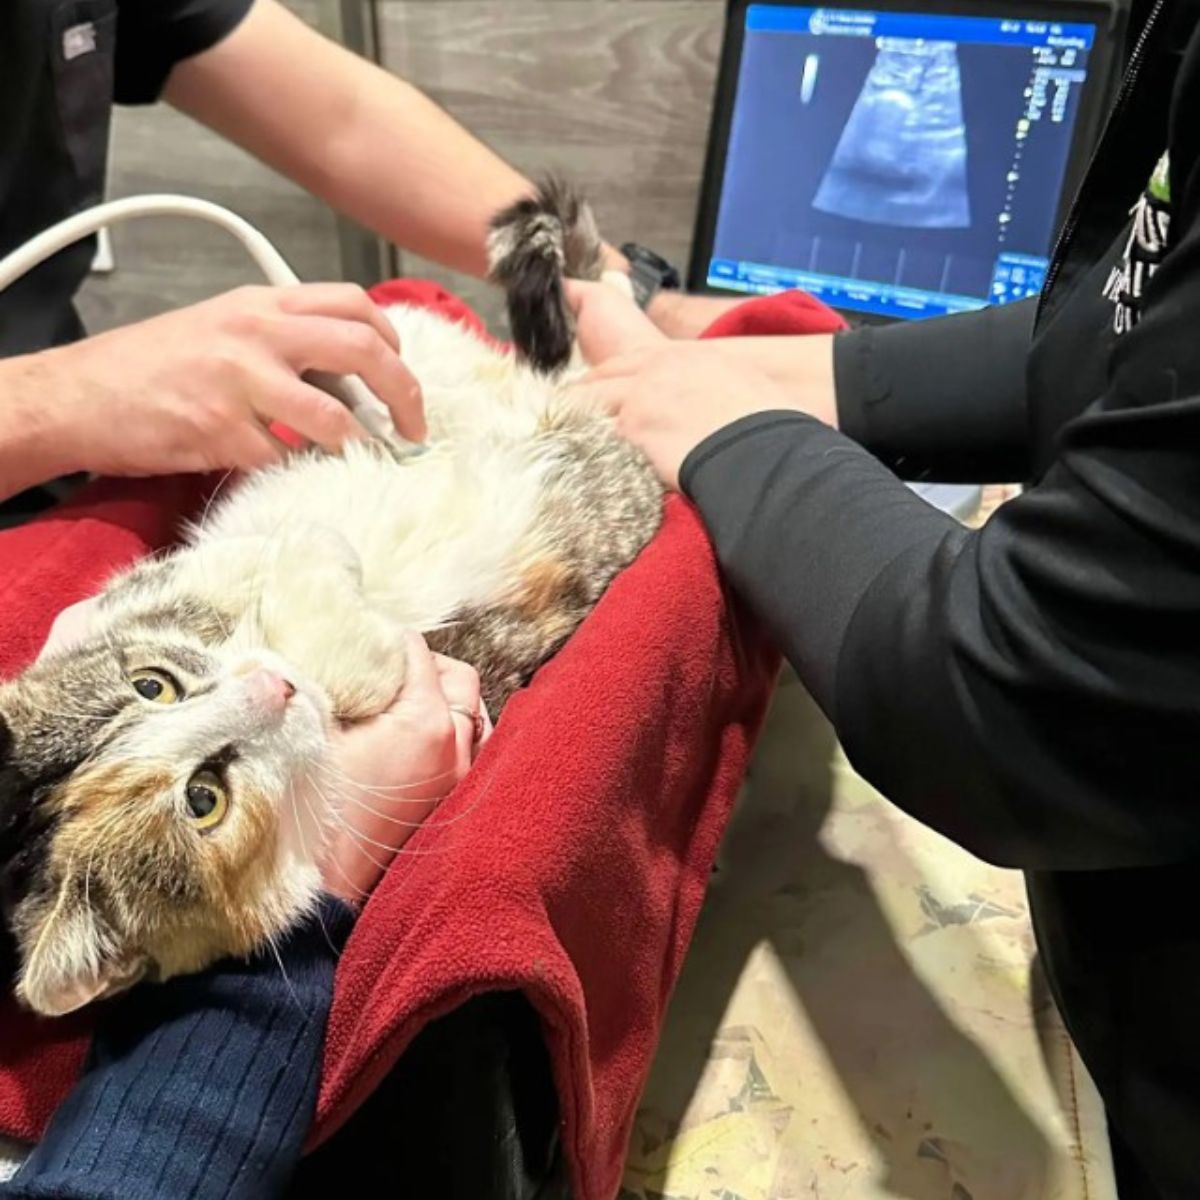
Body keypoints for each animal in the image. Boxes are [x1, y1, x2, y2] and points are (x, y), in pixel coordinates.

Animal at [0, 182, 662, 1017]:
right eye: (204, 800)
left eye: (153, 686)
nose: (270, 686)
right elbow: (350, 636)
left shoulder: (176, 576)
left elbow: (254, 558)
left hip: (415, 353)